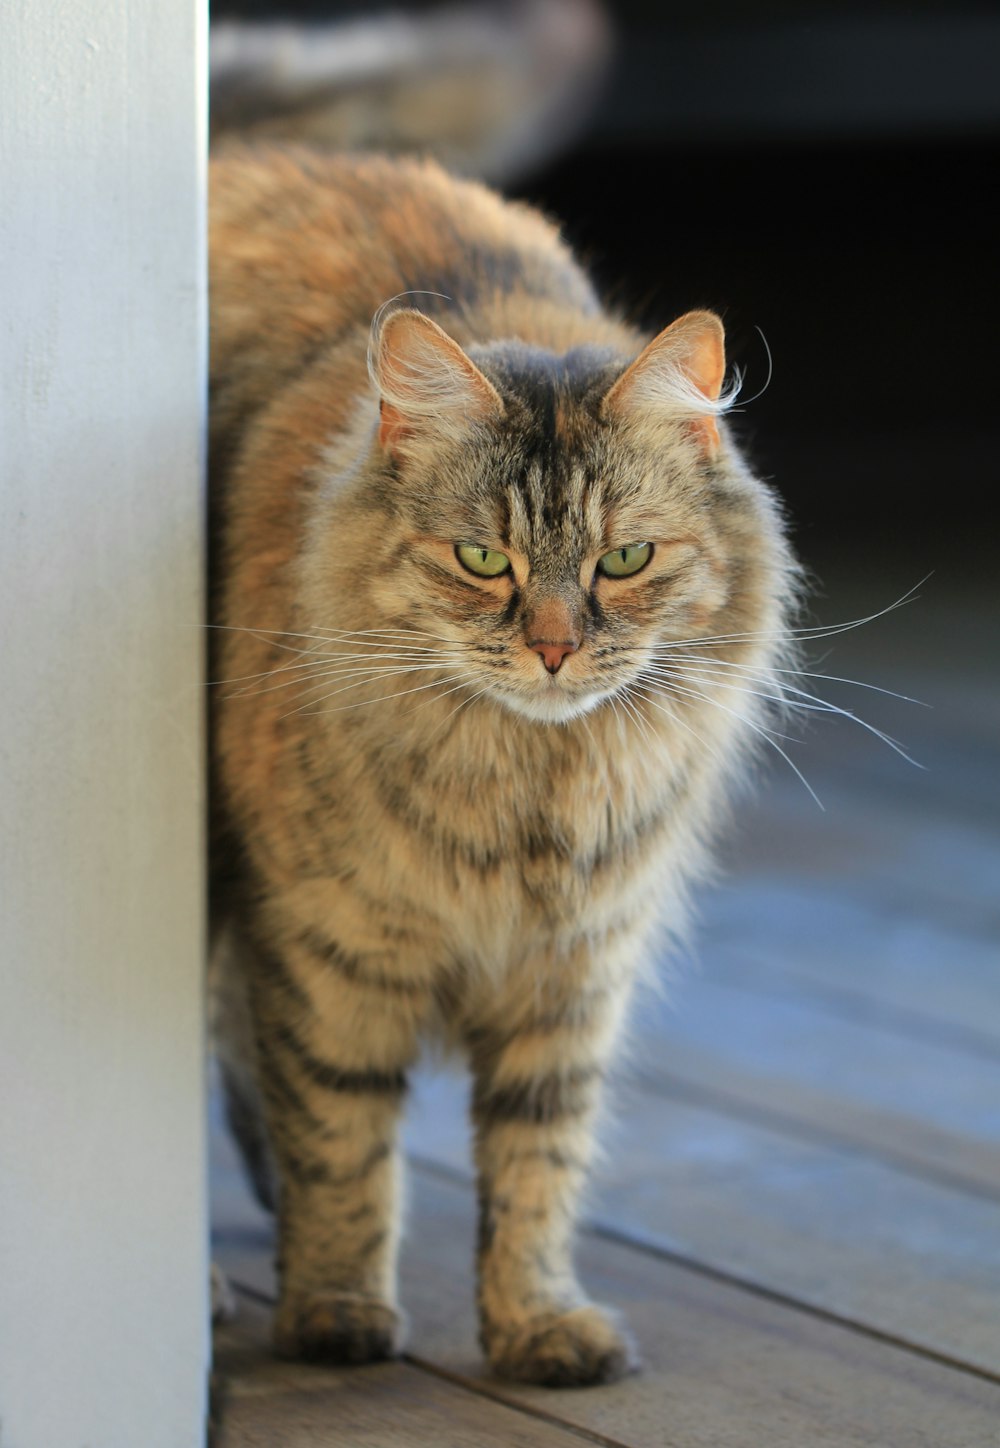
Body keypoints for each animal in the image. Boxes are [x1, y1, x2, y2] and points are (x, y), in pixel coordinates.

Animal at [209, 141, 798, 1384]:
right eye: (484, 559)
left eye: (625, 558)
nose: (554, 646)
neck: (530, 785)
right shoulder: (329, 951)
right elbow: (343, 1143)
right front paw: (336, 1312)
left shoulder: (573, 970)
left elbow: (537, 1164)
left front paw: (537, 1323)